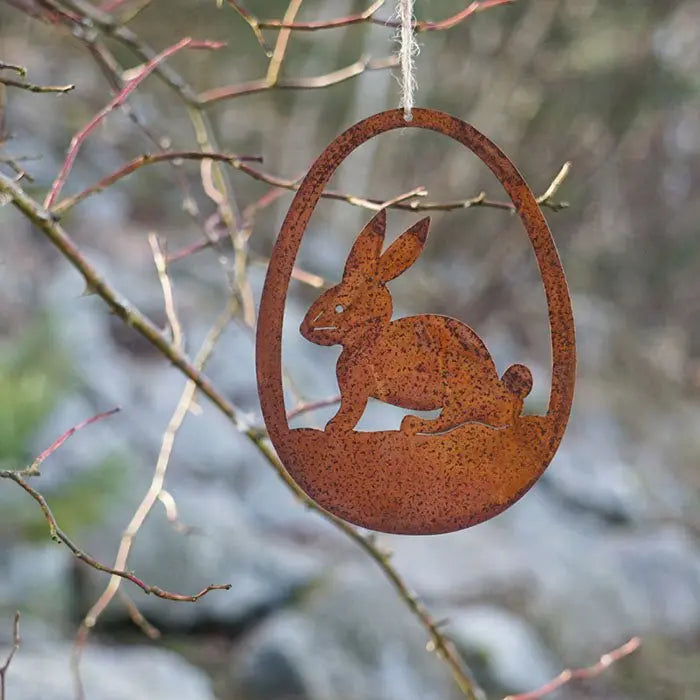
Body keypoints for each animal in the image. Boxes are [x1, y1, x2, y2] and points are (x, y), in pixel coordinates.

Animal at [300, 209, 533, 434]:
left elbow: (350, 412)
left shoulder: (357, 392)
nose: (304, 329)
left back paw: (414, 424)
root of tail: (508, 395)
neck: (369, 336)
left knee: (452, 418)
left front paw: (334, 427)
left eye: (339, 307)